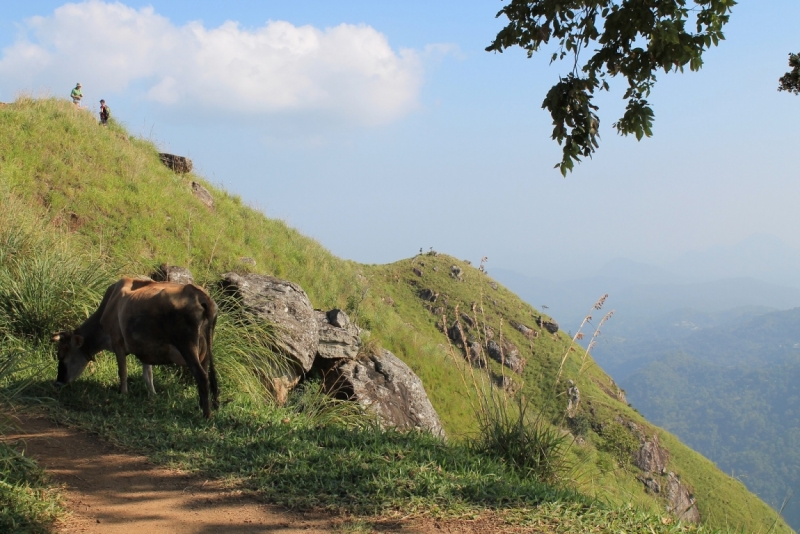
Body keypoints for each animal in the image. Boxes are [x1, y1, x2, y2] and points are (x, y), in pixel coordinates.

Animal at [52, 278, 219, 420]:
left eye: (62, 355)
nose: (58, 382)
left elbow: (123, 371)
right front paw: (152, 394)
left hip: (187, 347)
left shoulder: (117, 343)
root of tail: (200, 295)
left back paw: (206, 414)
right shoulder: (145, 349)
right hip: (204, 350)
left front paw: (123, 393)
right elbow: (148, 375)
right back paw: (203, 406)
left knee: (201, 376)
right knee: (207, 374)